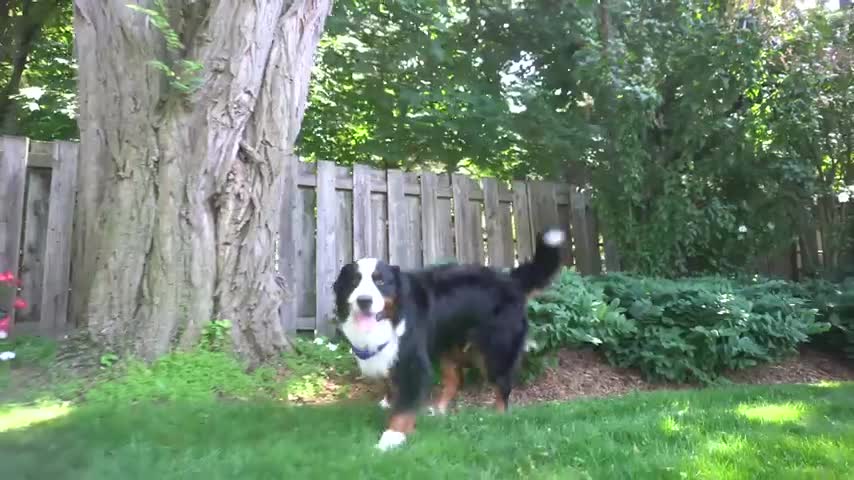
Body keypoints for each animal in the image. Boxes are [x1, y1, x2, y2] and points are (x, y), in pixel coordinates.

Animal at [334, 228, 568, 450]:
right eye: (354, 282)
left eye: (381, 281)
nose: (364, 300)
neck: (393, 317)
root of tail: (509, 278)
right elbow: (391, 384)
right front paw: (390, 405)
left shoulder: (413, 362)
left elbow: (404, 405)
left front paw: (392, 437)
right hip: (449, 344)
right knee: (456, 379)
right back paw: (438, 411)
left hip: (494, 350)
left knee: (502, 387)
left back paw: (497, 417)